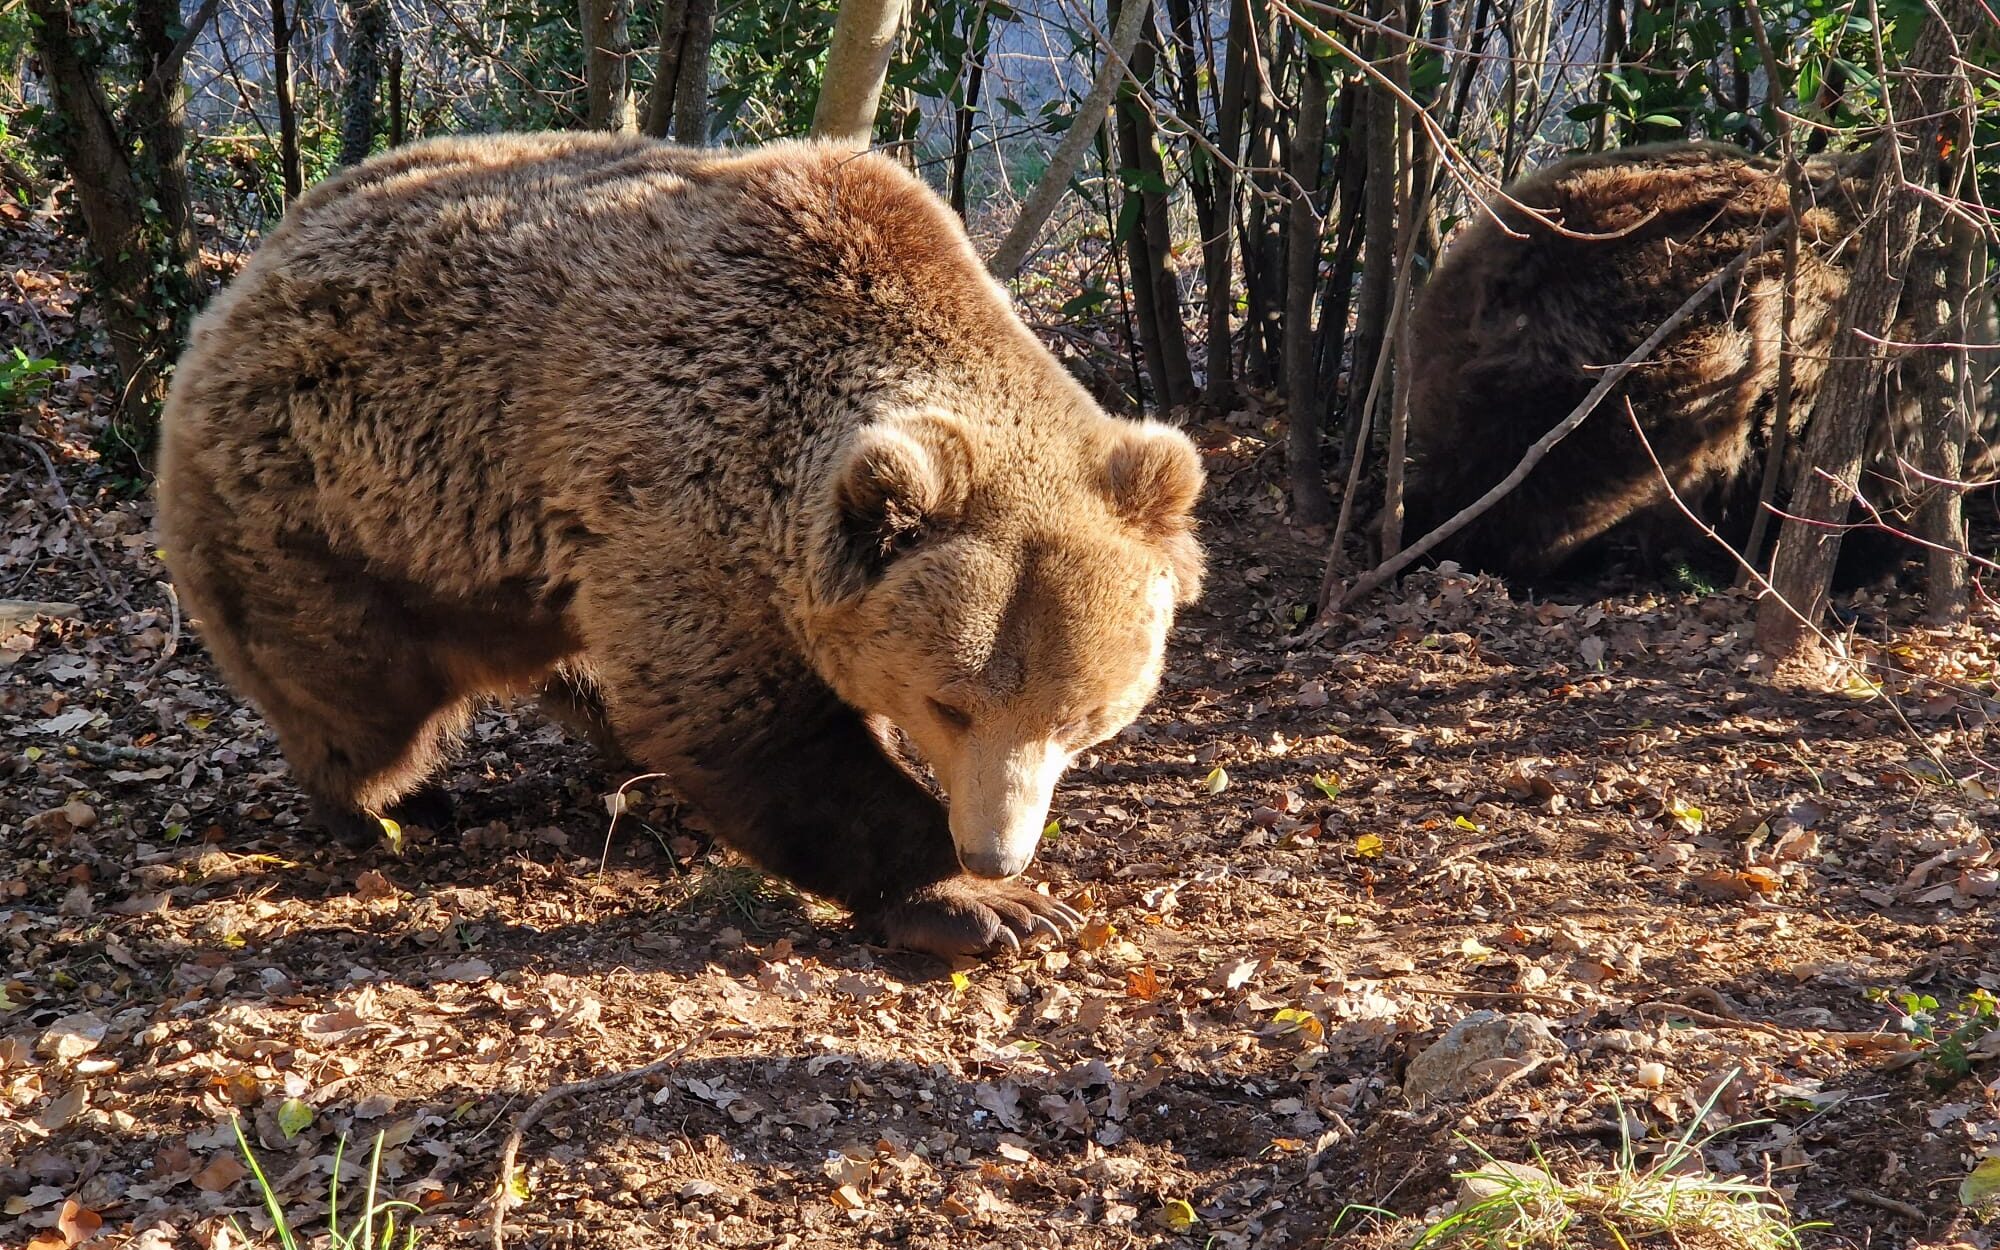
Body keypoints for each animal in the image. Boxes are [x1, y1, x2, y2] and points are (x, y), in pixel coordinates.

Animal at [156, 134, 1200, 956]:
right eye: (950, 702)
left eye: (1083, 717)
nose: (995, 846)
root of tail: (250, 273)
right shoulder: (685, 495)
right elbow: (750, 724)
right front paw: (988, 904)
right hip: (332, 494)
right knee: (352, 686)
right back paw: (387, 805)